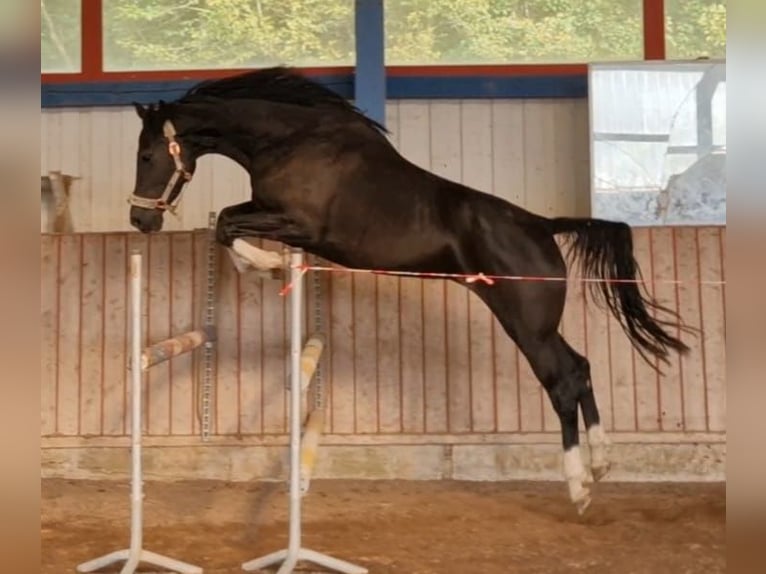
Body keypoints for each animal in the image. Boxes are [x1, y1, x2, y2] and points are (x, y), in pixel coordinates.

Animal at [127, 66, 691, 515]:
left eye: (148, 154)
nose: (140, 220)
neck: (295, 142)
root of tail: (541, 225)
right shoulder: (276, 215)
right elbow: (227, 223)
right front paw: (269, 268)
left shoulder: (301, 225)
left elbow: (226, 224)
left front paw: (268, 267)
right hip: (539, 323)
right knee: (581, 367)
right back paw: (603, 463)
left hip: (525, 323)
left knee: (562, 379)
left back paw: (579, 487)